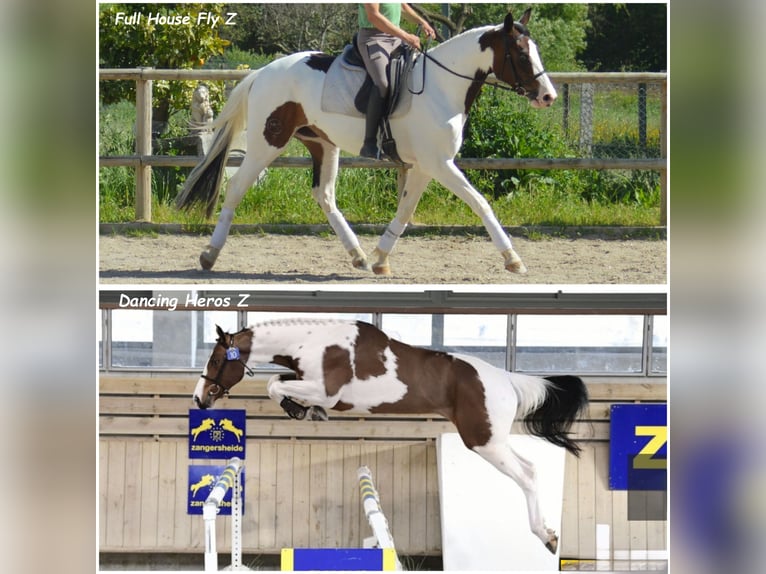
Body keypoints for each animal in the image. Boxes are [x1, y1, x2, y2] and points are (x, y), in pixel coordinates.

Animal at [176, 9, 556, 276]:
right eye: (522, 55)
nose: (548, 97)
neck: (442, 86)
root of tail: (263, 72)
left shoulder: (426, 166)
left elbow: (406, 210)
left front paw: (380, 259)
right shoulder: (440, 164)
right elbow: (481, 204)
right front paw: (513, 259)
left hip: (324, 145)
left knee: (324, 195)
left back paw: (357, 255)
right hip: (266, 143)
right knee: (237, 186)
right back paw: (209, 254)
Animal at [192, 318, 588, 556]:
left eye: (216, 361)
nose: (200, 399)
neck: (314, 344)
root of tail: (506, 379)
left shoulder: (327, 391)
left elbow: (275, 384)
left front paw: (300, 409)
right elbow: (276, 382)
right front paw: (304, 411)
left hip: (483, 441)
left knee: (526, 476)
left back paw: (547, 536)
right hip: (493, 441)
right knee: (531, 469)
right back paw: (547, 534)